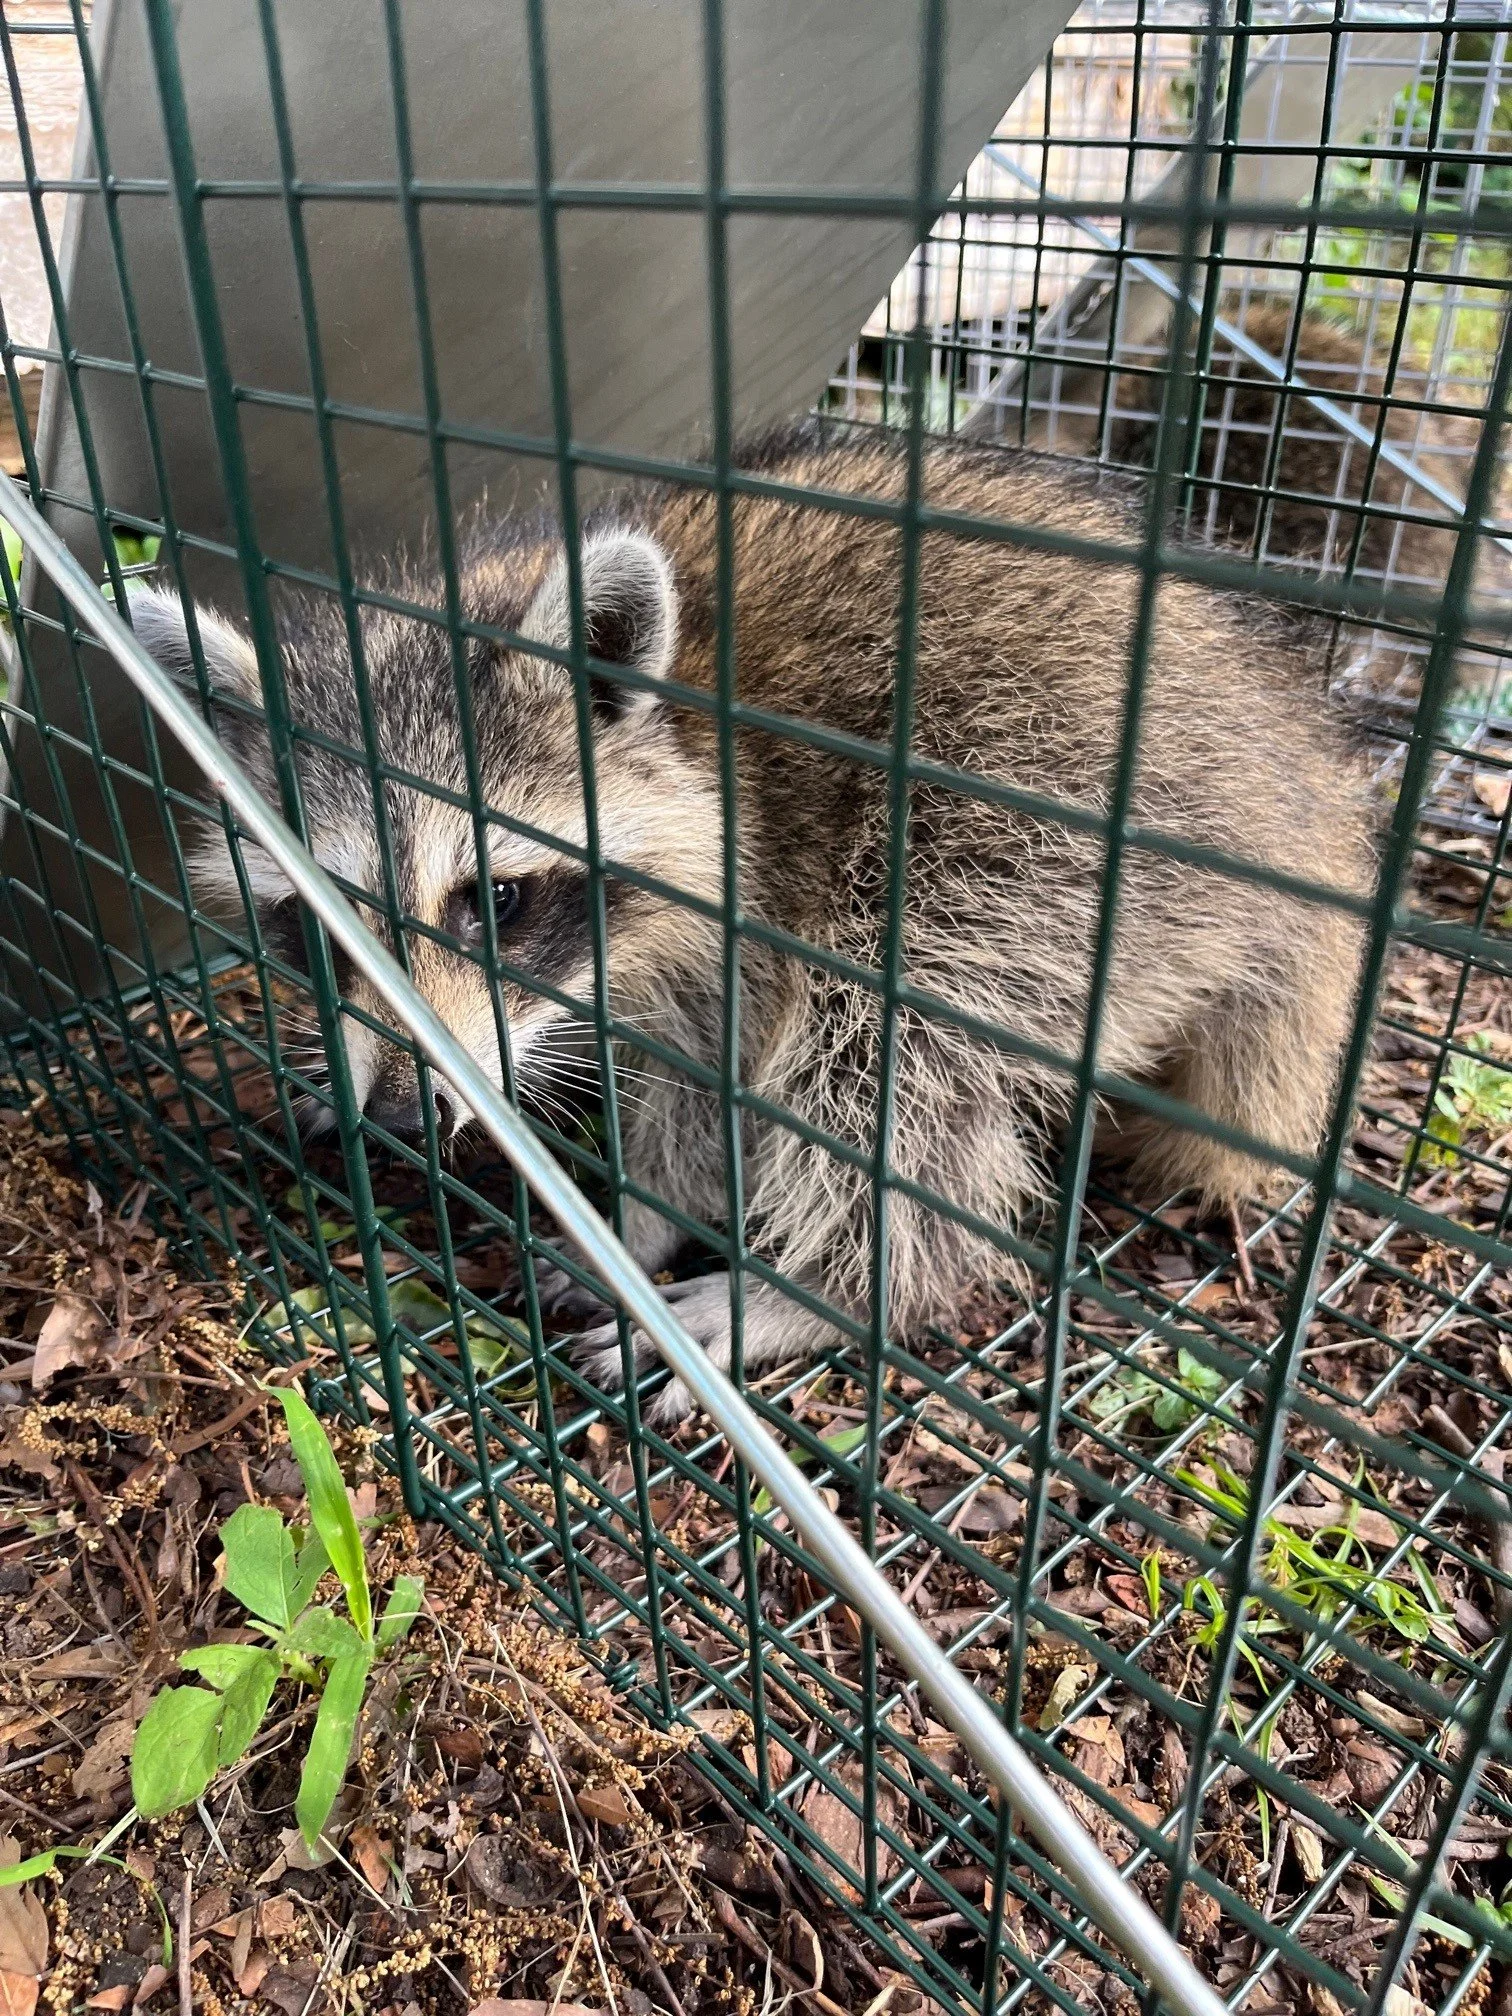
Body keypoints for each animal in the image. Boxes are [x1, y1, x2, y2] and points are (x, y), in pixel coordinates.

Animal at [135, 422, 1373, 1423]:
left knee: (894, 1059)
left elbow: (728, 1083)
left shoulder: (764, 890)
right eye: (311, 921)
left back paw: (822, 1293)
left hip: (1045, 834)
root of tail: (1300, 792)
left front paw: (657, 1227)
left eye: (493, 900)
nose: (398, 1113)